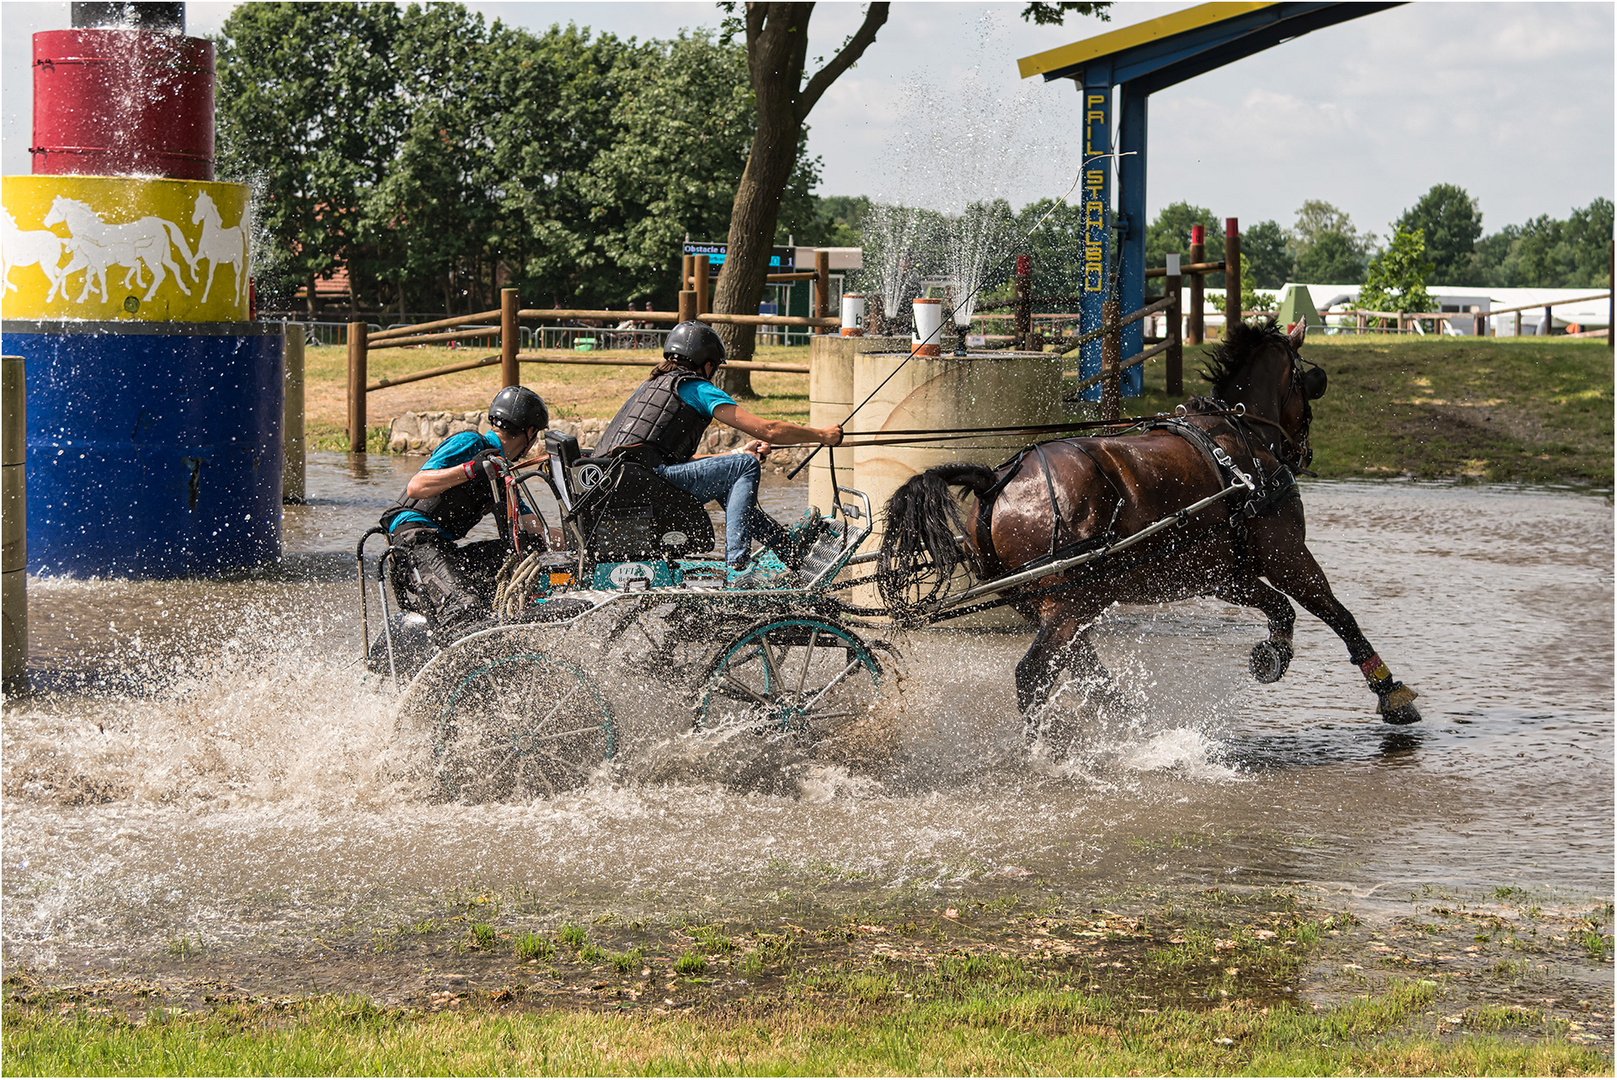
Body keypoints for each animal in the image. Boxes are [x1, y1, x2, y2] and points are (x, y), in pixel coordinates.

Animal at [44, 194, 194, 302]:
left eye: (56, 210)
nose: (46, 222)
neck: (89, 232)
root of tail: (159, 222)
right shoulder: (87, 262)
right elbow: (73, 274)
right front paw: (79, 297)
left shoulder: (85, 261)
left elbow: (82, 276)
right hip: (163, 255)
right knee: (175, 267)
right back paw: (185, 290)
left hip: (152, 257)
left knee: (160, 273)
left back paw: (147, 296)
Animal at [879, 318, 1422, 743]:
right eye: (1310, 381)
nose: (1303, 452)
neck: (1240, 438)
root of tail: (997, 478)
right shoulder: (1286, 554)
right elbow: (1338, 615)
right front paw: (1391, 693)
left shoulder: (1222, 574)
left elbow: (1280, 609)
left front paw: (1273, 653)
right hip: (1069, 602)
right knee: (1033, 675)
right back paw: (1047, 751)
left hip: (1059, 602)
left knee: (1081, 667)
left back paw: (1126, 720)